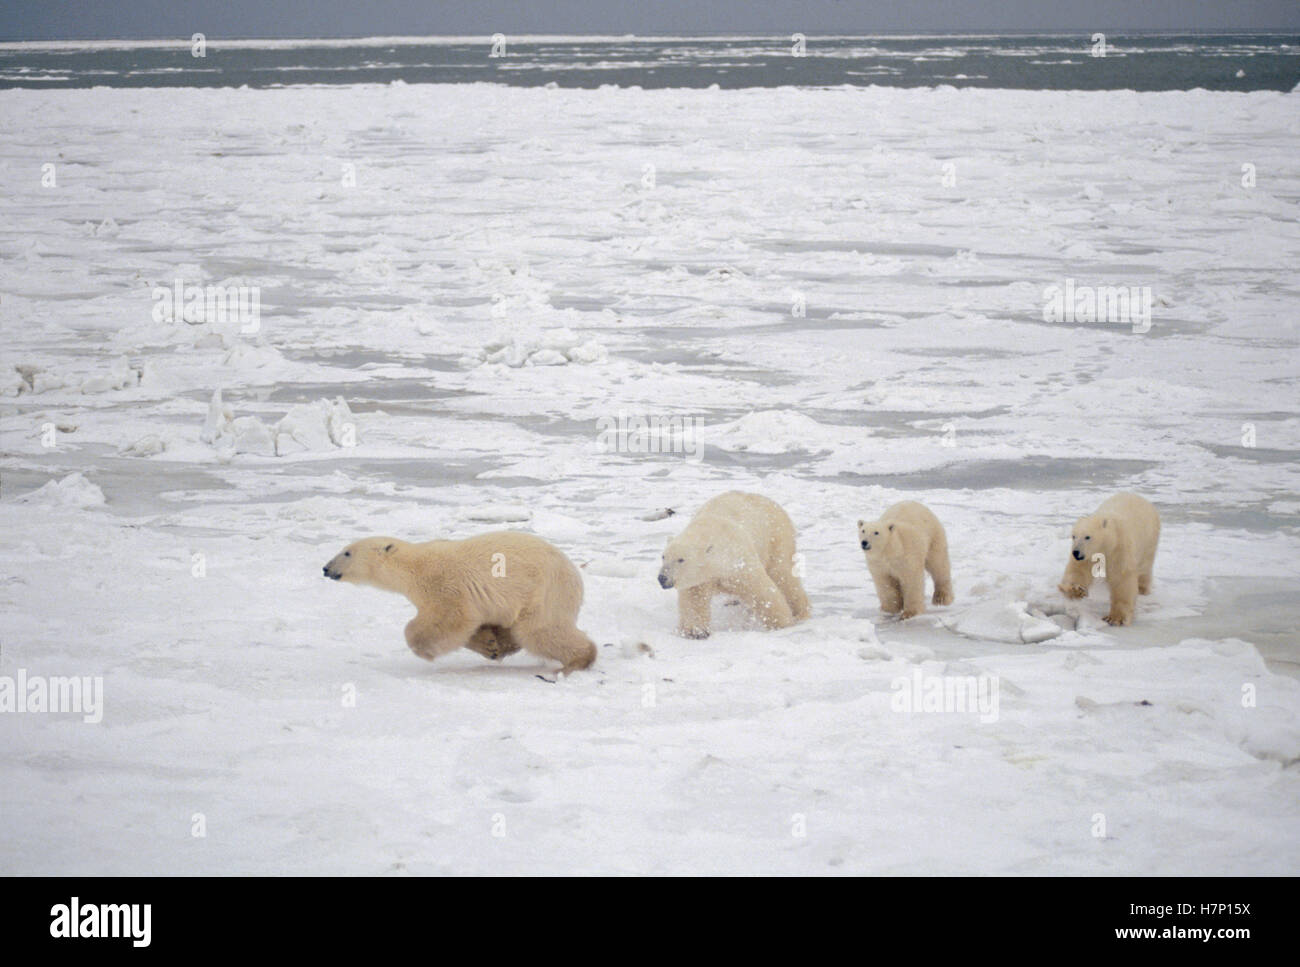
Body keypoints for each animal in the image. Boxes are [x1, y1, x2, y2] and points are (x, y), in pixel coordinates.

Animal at [322, 532, 595, 675]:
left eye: (347, 552)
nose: (326, 568)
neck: (412, 567)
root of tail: (574, 572)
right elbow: (471, 625)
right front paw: (490, 645)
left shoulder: (444, 585)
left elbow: (451, 618)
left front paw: (424, 649)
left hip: (545, 591)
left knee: (541, 630)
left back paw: (576, 662)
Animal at [655, 491, 806, 642]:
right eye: (663, 557)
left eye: (681, 559)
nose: (662, 578)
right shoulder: (701, 578)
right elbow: (694, 599)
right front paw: (695, 631)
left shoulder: (739, 562)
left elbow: (761, 591)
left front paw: (783, 623)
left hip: (776, 536)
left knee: (783, 574)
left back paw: (801, 611)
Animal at [1060, 491, 1164, 626]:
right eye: (1074, 536)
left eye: (1087, 537)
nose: (1076, 552)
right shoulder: (1090, 555)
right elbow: (1079, 570)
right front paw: (1075, 590)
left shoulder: (1119, 548)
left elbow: (1121, 579)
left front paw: (1115, 618)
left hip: (1149, 539)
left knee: (1145, 566)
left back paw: (1142, 588)